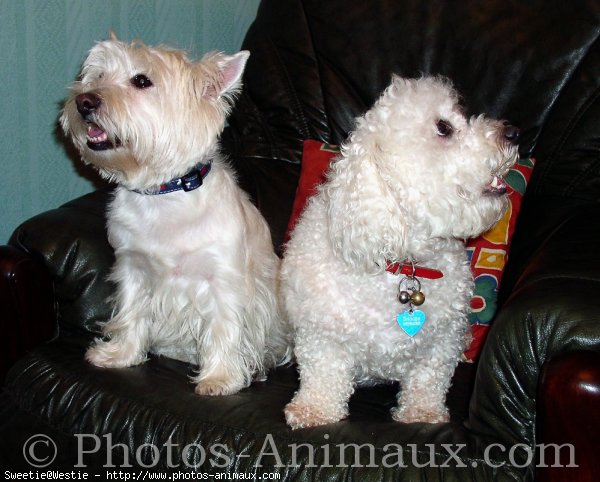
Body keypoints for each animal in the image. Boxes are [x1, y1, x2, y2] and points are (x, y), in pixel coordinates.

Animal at [59, 34, 290, 396]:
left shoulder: (222, 279)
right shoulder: (133, 268)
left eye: (142, 81)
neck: (163, 196)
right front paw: (120, 354)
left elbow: (224, 326)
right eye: (97, 76)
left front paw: (220, 378)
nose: (84, 102)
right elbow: (131, 312)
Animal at [282, 76, 520, 430]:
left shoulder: (442, 340)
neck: (404, 261)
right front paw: (315, 411)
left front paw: (422, 413)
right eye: (444, 128)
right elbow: (324, 374)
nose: (513, 132)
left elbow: (428, 379)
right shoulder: (322, 334)